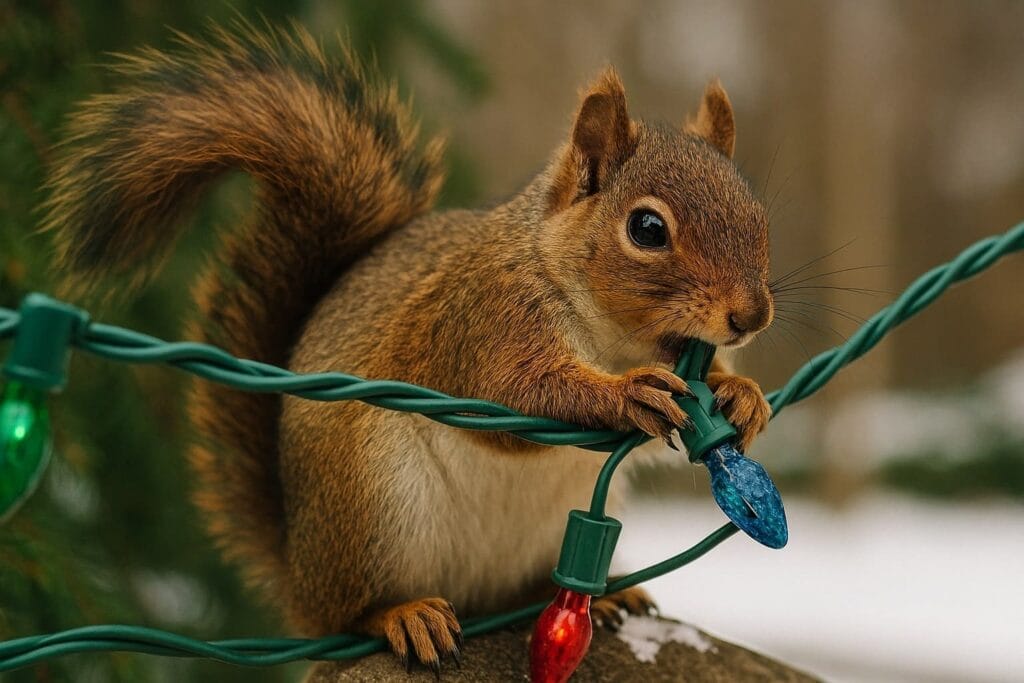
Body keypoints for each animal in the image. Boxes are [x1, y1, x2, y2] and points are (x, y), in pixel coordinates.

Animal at [44, 23, 774, 675]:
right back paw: (402, 615)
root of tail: (299, 572)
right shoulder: (483, 321)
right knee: (351, 611)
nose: (752, 315)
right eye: (647, 228)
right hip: (366, 501)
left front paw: (741, 394)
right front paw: (628, 394)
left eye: (759, 215)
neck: (615, 336)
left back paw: (606, 594)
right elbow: (512, 396)